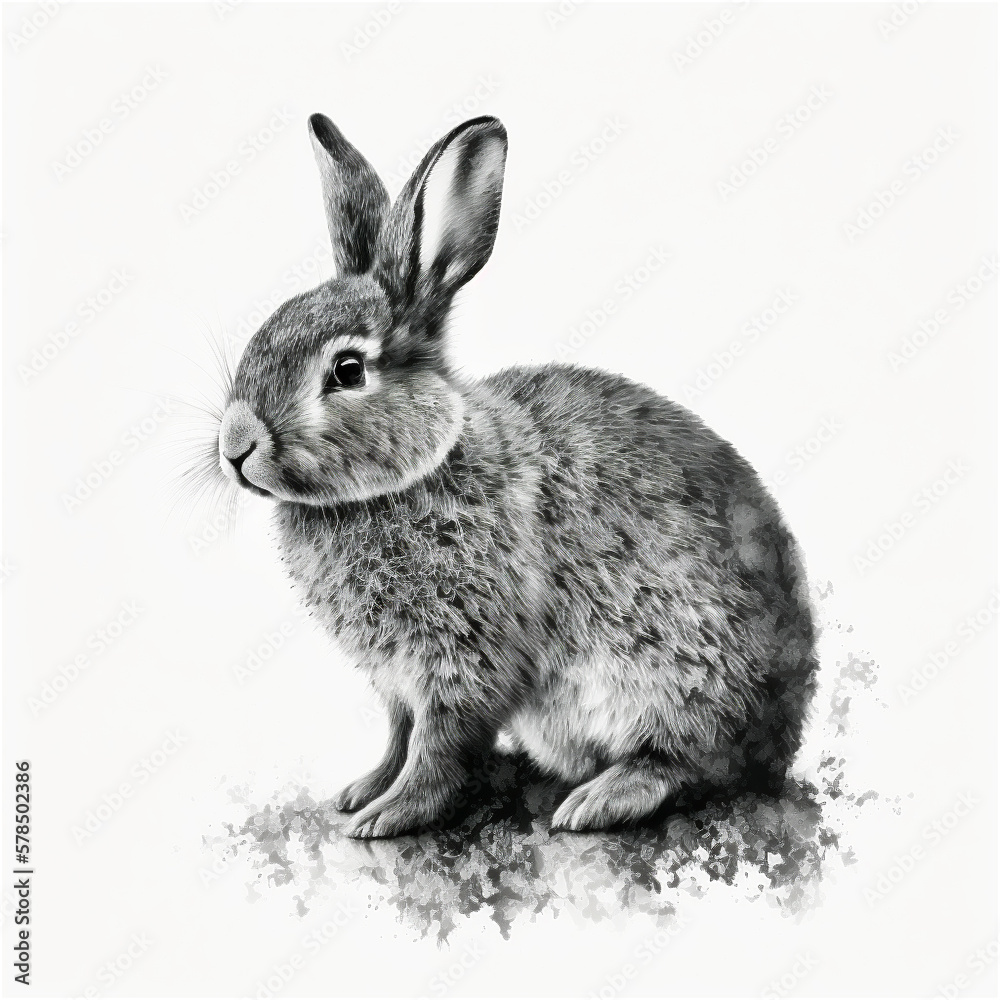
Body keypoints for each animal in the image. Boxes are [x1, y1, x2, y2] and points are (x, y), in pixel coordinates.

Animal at [215, 112, 818, 838]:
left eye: (348, 370)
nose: (235, 445)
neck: (417, 472)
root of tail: (785, 732)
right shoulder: (398, 682)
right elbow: (398, 734)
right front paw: (362, 792)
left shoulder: (467, 653)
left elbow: (440, 746)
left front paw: (388, 816)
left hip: (672, 672)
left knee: (690, 763)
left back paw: (598, 800)